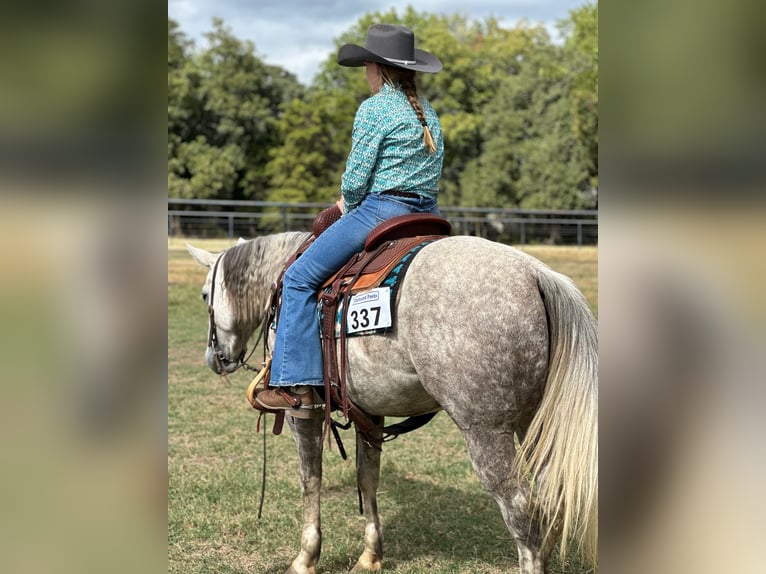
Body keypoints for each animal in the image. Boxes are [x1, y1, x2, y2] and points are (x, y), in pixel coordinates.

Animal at [188, 234, 600, 574]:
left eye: (205, 296)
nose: (215, 358)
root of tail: (536, 274)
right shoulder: (369, 410)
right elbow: (367, 478)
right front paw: (371, 556)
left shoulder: (301, 411)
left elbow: (310, 479)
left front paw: (306, 558)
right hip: (537, 425)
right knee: (553, 499)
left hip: (486, 431)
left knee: (521, 512)